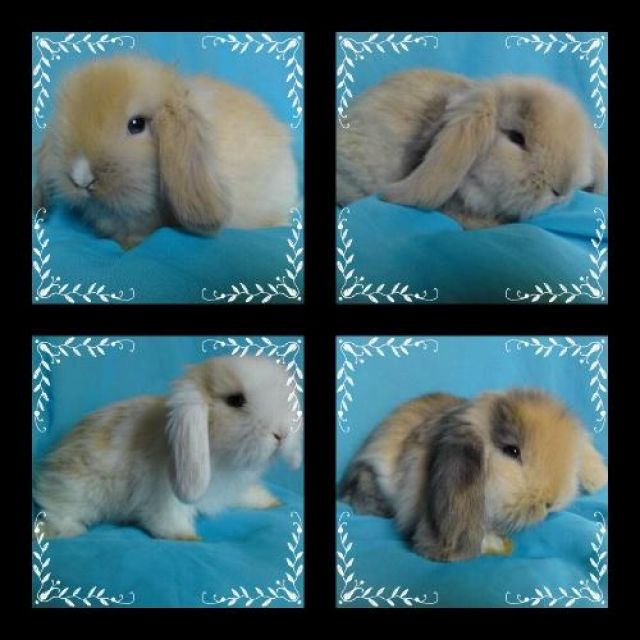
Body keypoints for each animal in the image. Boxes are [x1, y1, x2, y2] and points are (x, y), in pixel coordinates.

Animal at [33, 355, 303, 540]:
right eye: (236, 400)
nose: (282, 434)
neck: (221, 458)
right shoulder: (164, 493)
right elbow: (169, 517)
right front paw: (185, 536)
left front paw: (269, 501)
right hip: (77, 493)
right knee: (57, 512)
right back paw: (64, 531)